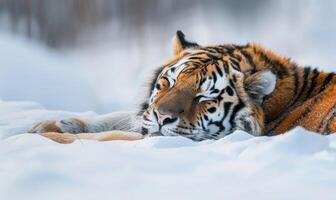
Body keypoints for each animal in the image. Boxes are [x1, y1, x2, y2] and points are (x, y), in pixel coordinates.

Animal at [28, 30, 336, 143]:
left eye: (203, 98)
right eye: (168, 83)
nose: (162, 117)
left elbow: (110, 136)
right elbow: (117, 120)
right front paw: (50, 124)